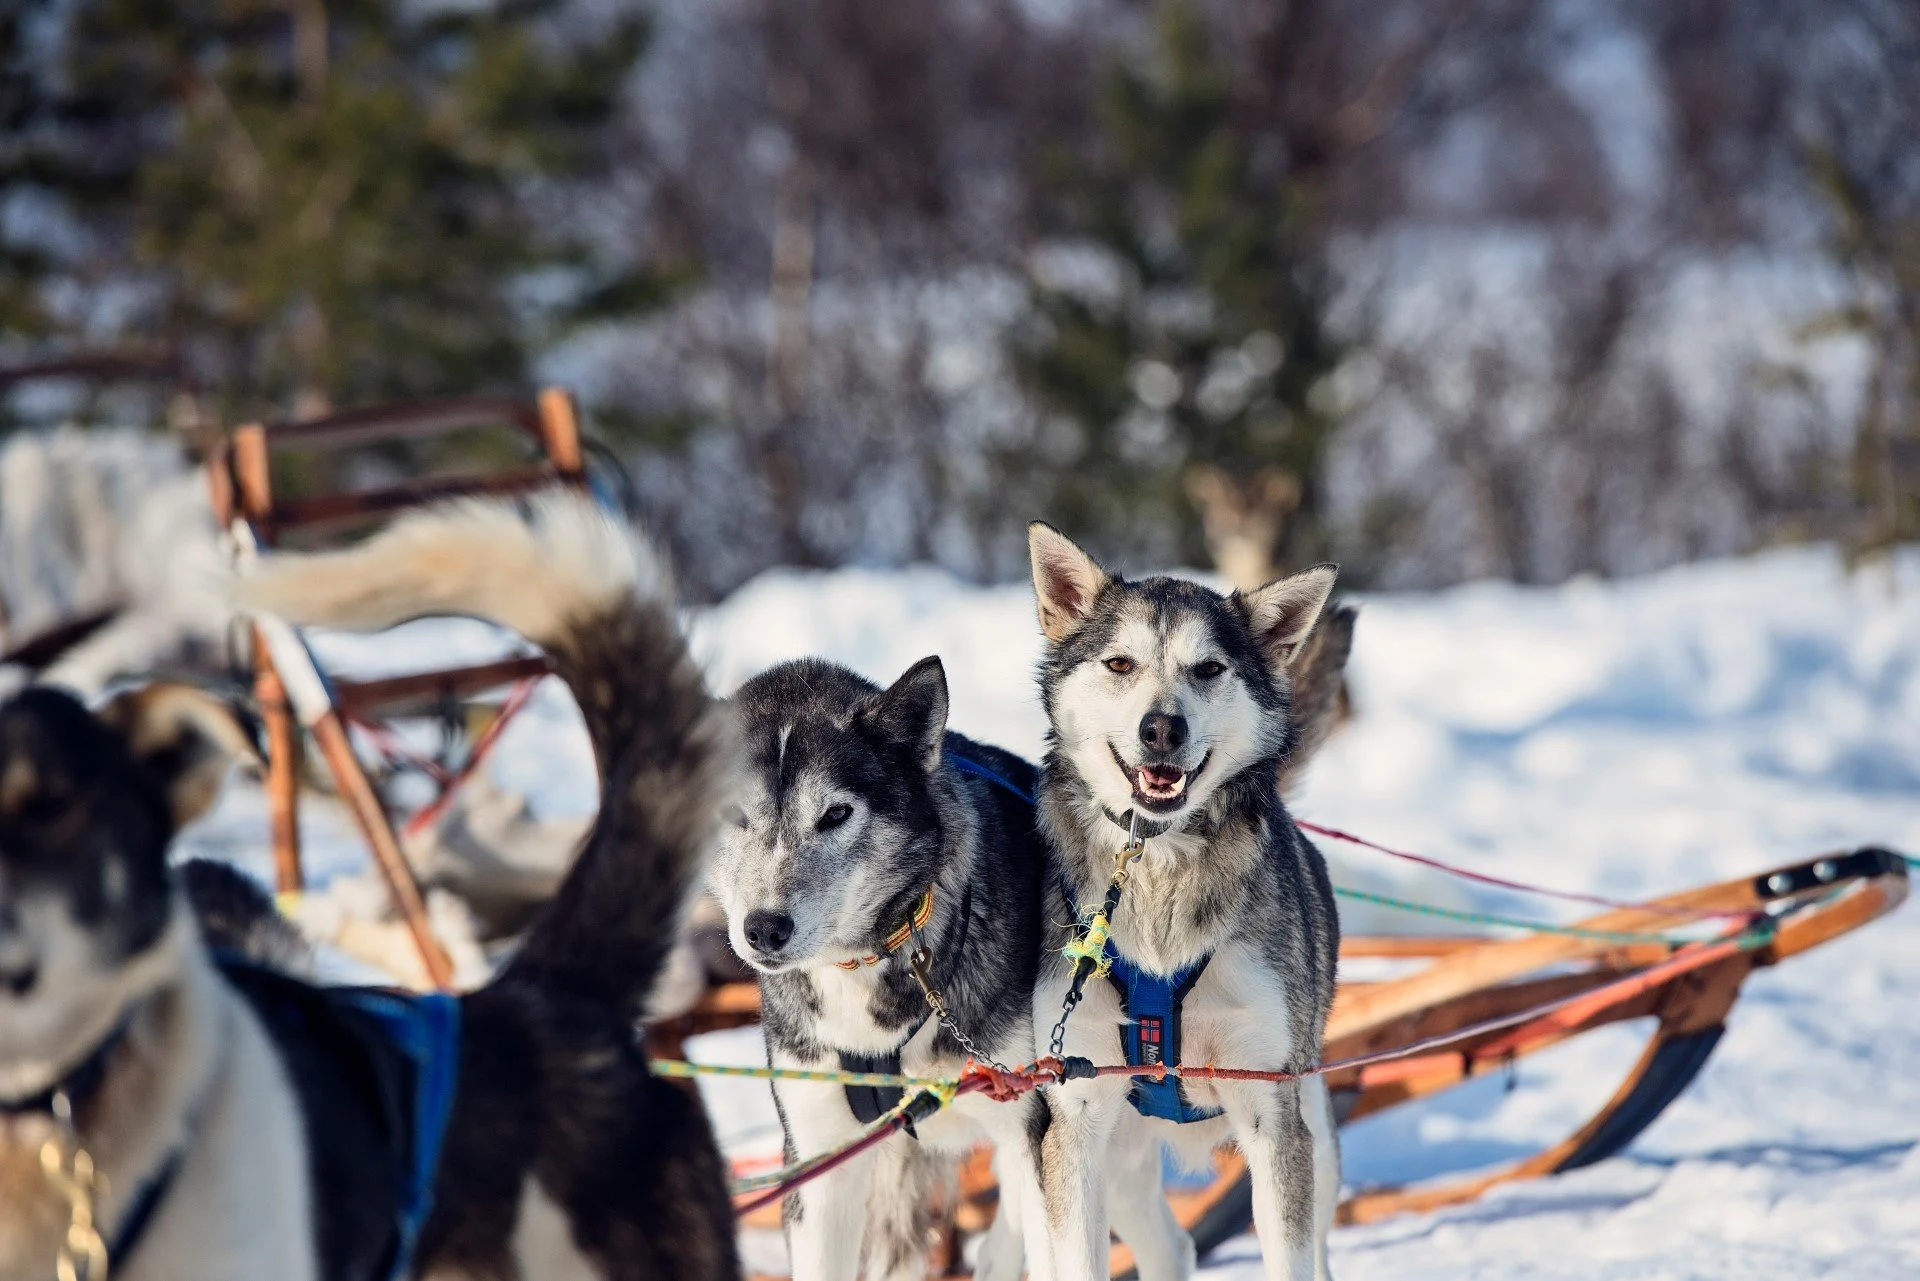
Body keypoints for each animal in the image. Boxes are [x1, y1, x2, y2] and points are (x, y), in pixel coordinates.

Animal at [1029, 522, 1344, 1281]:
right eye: (1120, 663)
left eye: (1208, 669)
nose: (1161, 727)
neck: (1157, 866)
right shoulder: (1076, 1117)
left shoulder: (1270, 1107)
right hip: (1119, 1155)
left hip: (1315, 1129)